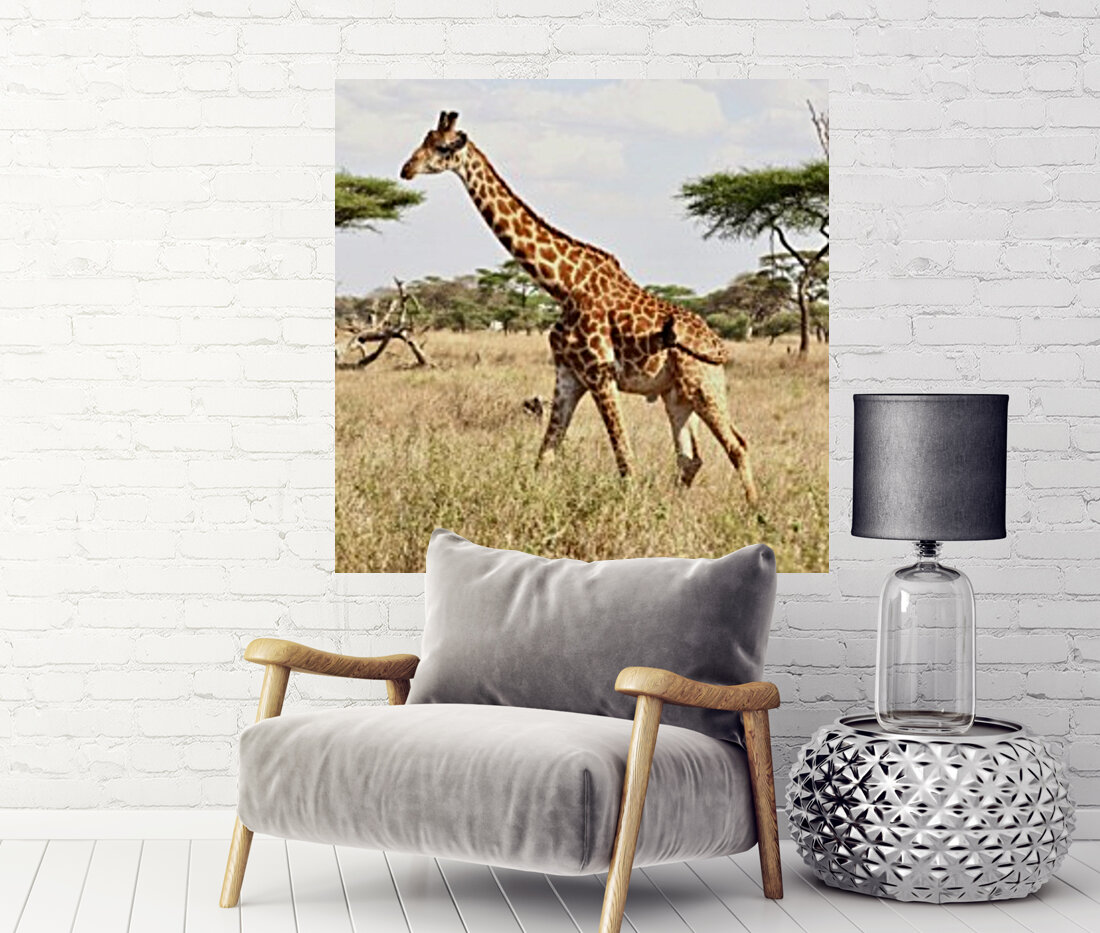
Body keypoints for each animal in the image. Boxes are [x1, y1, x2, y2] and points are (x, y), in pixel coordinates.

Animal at [400, 111, 757, 505]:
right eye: (425, 139)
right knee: (690, 458)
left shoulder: (600, 373)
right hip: (675, 394)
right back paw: (676, 507)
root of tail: (719, 344)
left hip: (703, 384)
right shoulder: (568, 374)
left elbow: (625, 461)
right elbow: (545, 455)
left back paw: (755, 512)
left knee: (737, 445)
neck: (562, 285)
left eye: (443, 147)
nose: (407, 169)